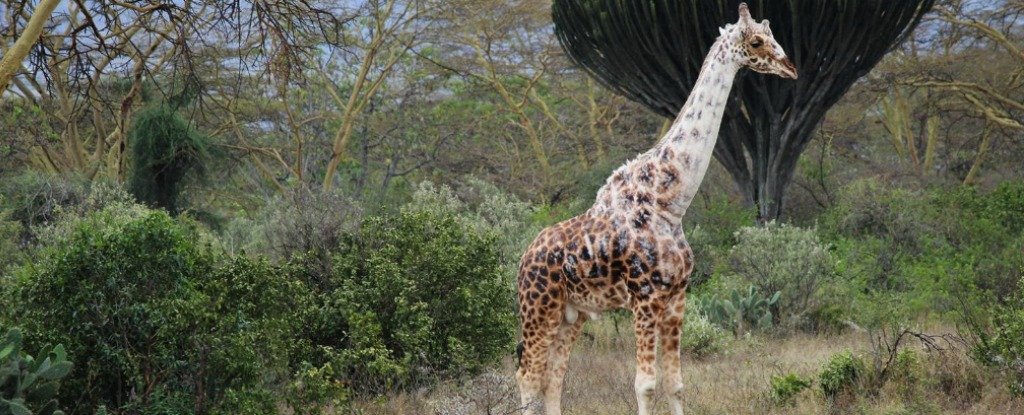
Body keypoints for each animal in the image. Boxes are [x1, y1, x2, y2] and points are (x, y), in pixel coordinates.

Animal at [514, 4, 796, 415]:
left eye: (773, 34)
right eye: (757, 41)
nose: (790, 67)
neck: (670, 203)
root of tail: (523, 258)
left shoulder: (677, 296)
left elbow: (675, 384)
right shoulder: (645, 296)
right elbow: (645, 385)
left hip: (572, 313)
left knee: (553, 379)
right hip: (539, 307)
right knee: (527, 377)